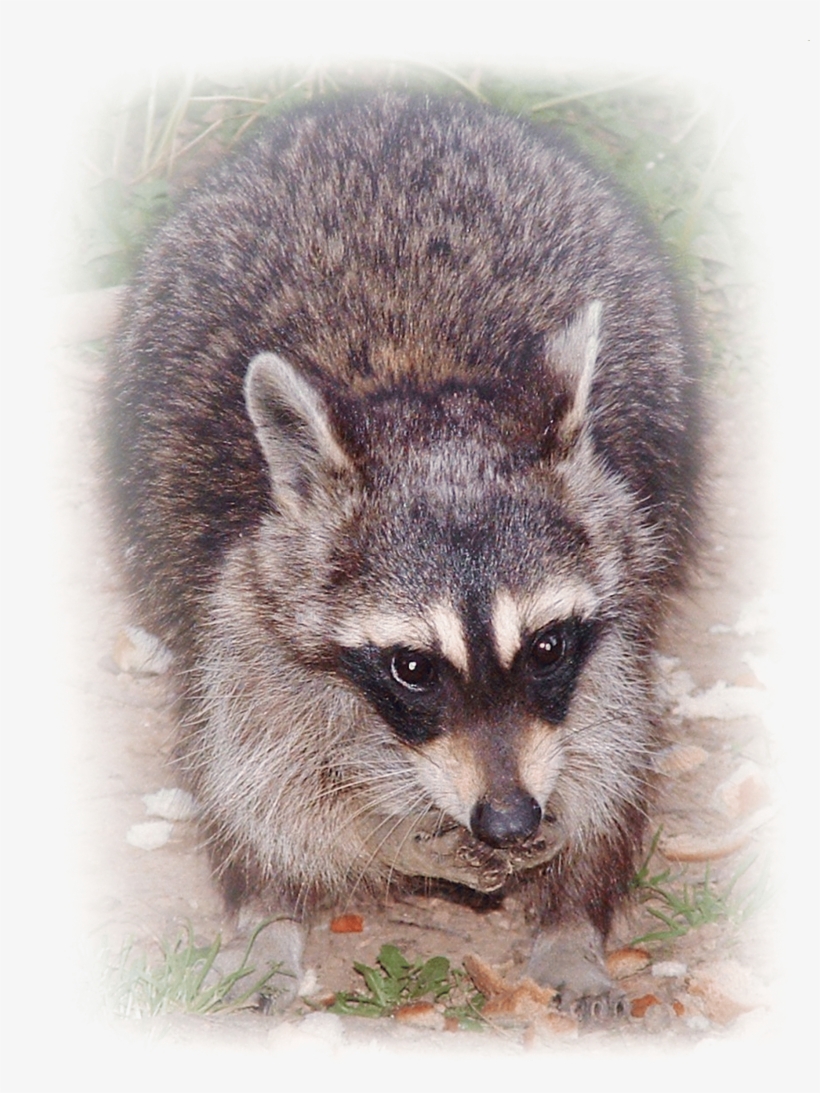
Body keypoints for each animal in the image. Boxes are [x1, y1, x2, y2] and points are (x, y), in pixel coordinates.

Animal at [104, 92, 701, 1015]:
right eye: (413, 667)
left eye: (546, 647)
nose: (509, 819)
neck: (426, 392)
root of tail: (387, 101)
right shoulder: (239, 596)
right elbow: (260, 777)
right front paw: (325, 866)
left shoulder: (620, 585)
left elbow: (610, 752)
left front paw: (573, 906)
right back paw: (271, 909)